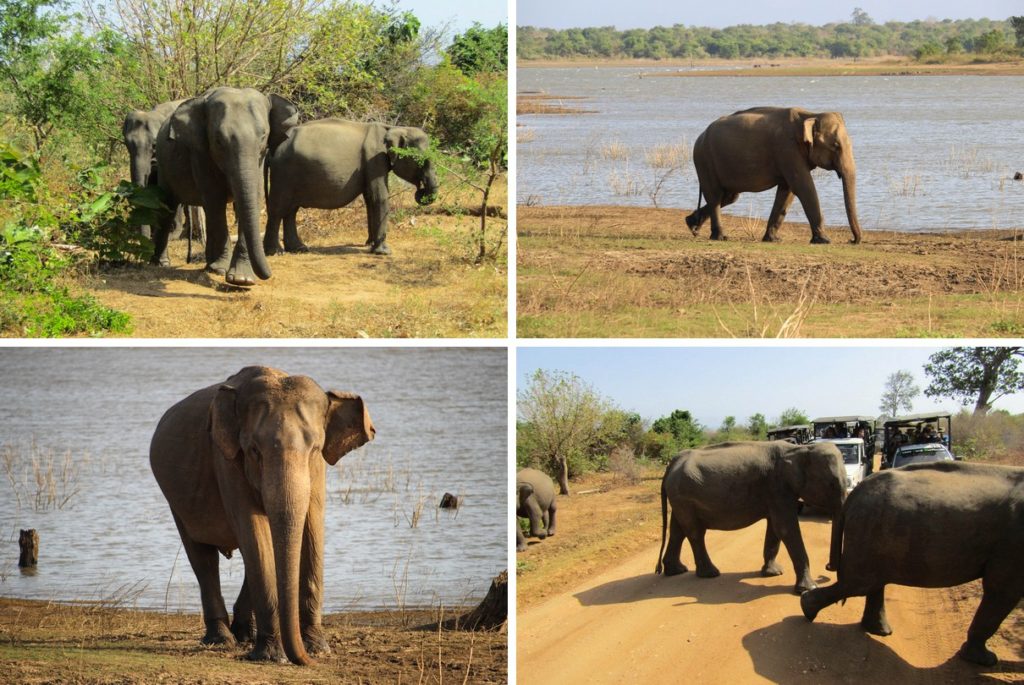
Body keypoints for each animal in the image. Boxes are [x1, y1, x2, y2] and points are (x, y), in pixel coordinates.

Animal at [148, 366, 376, 663]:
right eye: (254, 450)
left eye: (315, 448)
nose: (307, 660)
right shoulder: (227, 461)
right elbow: (253, 529)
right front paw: (271, 656)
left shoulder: (318, 470)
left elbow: (311, 527)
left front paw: (318, 647)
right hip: (176, 499)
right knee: (203, 556)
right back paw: (222, 640)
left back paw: (244, 634)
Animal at [262, 117, 438, 255]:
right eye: (421, 160)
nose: (421, 191)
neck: (391, 128)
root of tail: (270, 149)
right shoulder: (375, 160)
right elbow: (379, 197)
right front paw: (384, 252)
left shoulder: (371, 165)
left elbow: (370, 199)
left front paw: (369, 244)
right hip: (283, 172)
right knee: (278, 209)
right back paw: (275, 252)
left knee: (291, 210)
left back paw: (299, 249)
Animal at [655, 438, 847, 593]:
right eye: (831, 484)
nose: (828, 567)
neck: (800, 449)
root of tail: (671, 463)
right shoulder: (777, 487)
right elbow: (785, 528)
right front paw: (809, 589)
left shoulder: (776, 493)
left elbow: (775, 529)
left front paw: (773, 573)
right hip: (683, 496)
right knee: (695, 533)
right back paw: (710, 574)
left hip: (679, 498)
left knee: (678, 530)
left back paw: (676, 571)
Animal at [688, 105, 864, 244]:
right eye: (836, 146)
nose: (852, 240)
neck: (810, 115)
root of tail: (701, 136)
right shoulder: (787, 149)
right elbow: (803, 186)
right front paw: (824, 240)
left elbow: (787, 192)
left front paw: (773, 239)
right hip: (704, 160)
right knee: (715, 196)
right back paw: (719, 237)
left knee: (728, 197)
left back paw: (692, 224)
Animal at [798, 458, 1024, 663]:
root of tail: (855, 494)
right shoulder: (1013, 545)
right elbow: (1003, 589)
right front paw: (986, 661)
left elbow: (1002, 590)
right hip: (870, 529)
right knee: (859, 583)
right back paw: (808, 609)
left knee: (869, 582)